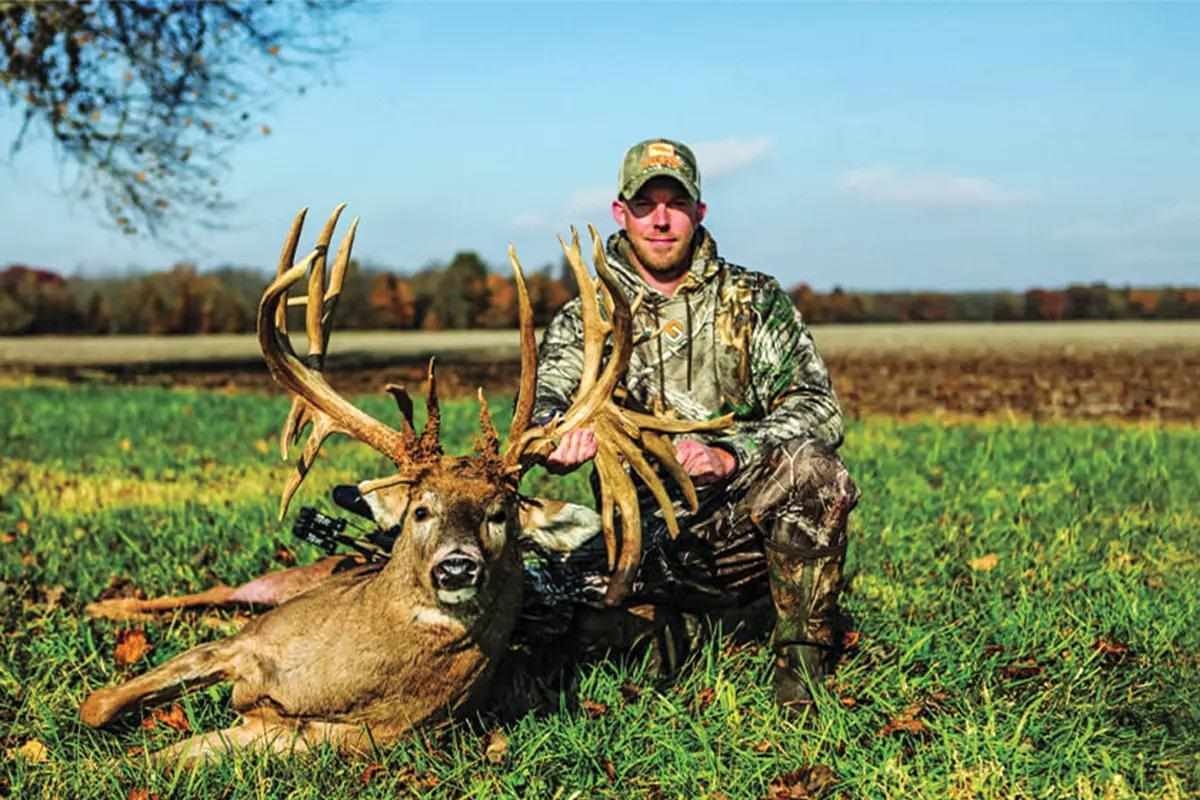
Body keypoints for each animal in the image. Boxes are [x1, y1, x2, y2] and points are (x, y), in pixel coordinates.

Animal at [78, 205, 730, 763]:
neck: (324, 683)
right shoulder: (250, 643)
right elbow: (97, 705)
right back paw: (101, 603)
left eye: (500, 514)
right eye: (422, 509)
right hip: (278, 586)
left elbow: (157, 756)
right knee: (212, 598)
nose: (457, 566)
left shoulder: (330, 736)